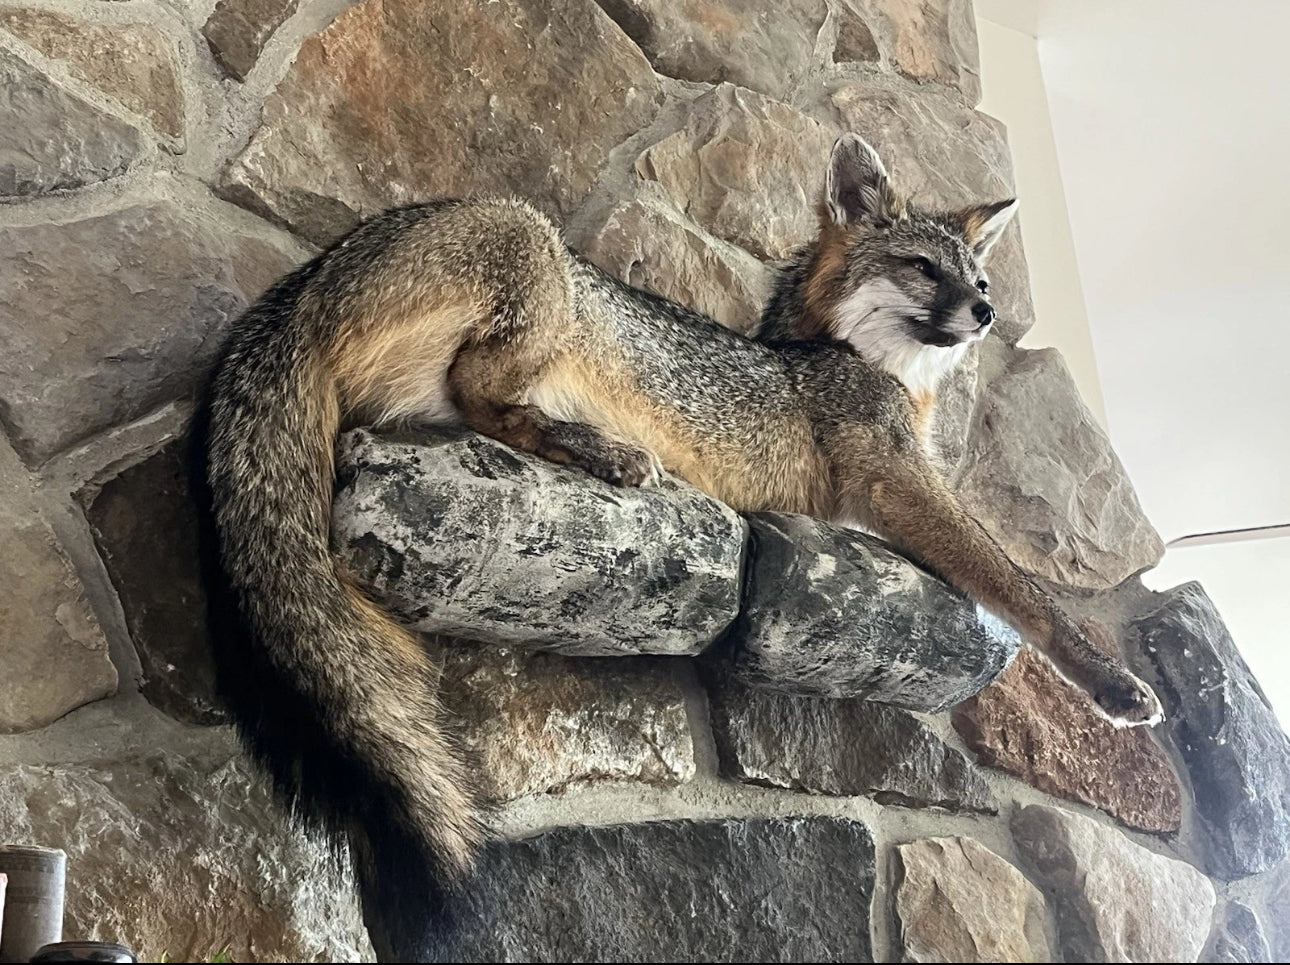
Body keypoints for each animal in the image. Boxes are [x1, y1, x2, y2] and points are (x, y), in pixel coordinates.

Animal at [198, 134, 1162, 957]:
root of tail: (304, 279)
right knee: (479, 391)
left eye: (979, 274)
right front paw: (1110, 681)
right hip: (533, 250)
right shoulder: (893, 479)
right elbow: (1019, 581)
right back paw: (603, 449)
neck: (843, 353)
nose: (990, 310)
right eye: (925, 269)